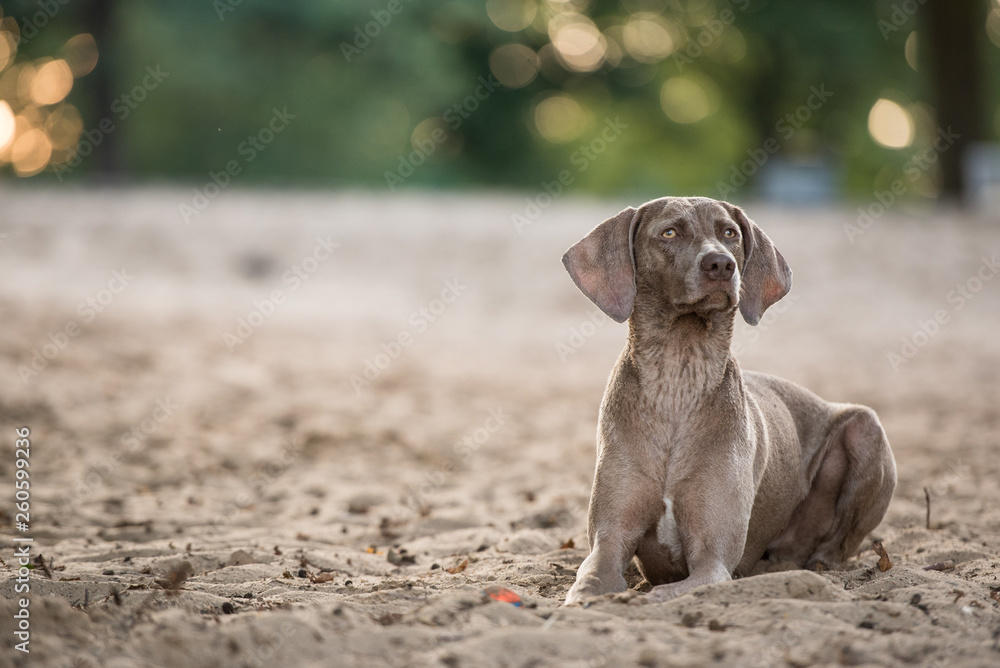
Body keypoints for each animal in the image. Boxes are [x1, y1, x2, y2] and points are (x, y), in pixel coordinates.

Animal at [564, 194, 900, 604]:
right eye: (669, 232)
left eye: (730, 233)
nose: (721, 264)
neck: (678, 377)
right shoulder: (608, 544)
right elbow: (587, 585)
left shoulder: (712, 563)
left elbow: (656, 595)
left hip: (865, 427)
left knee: (836, 545)